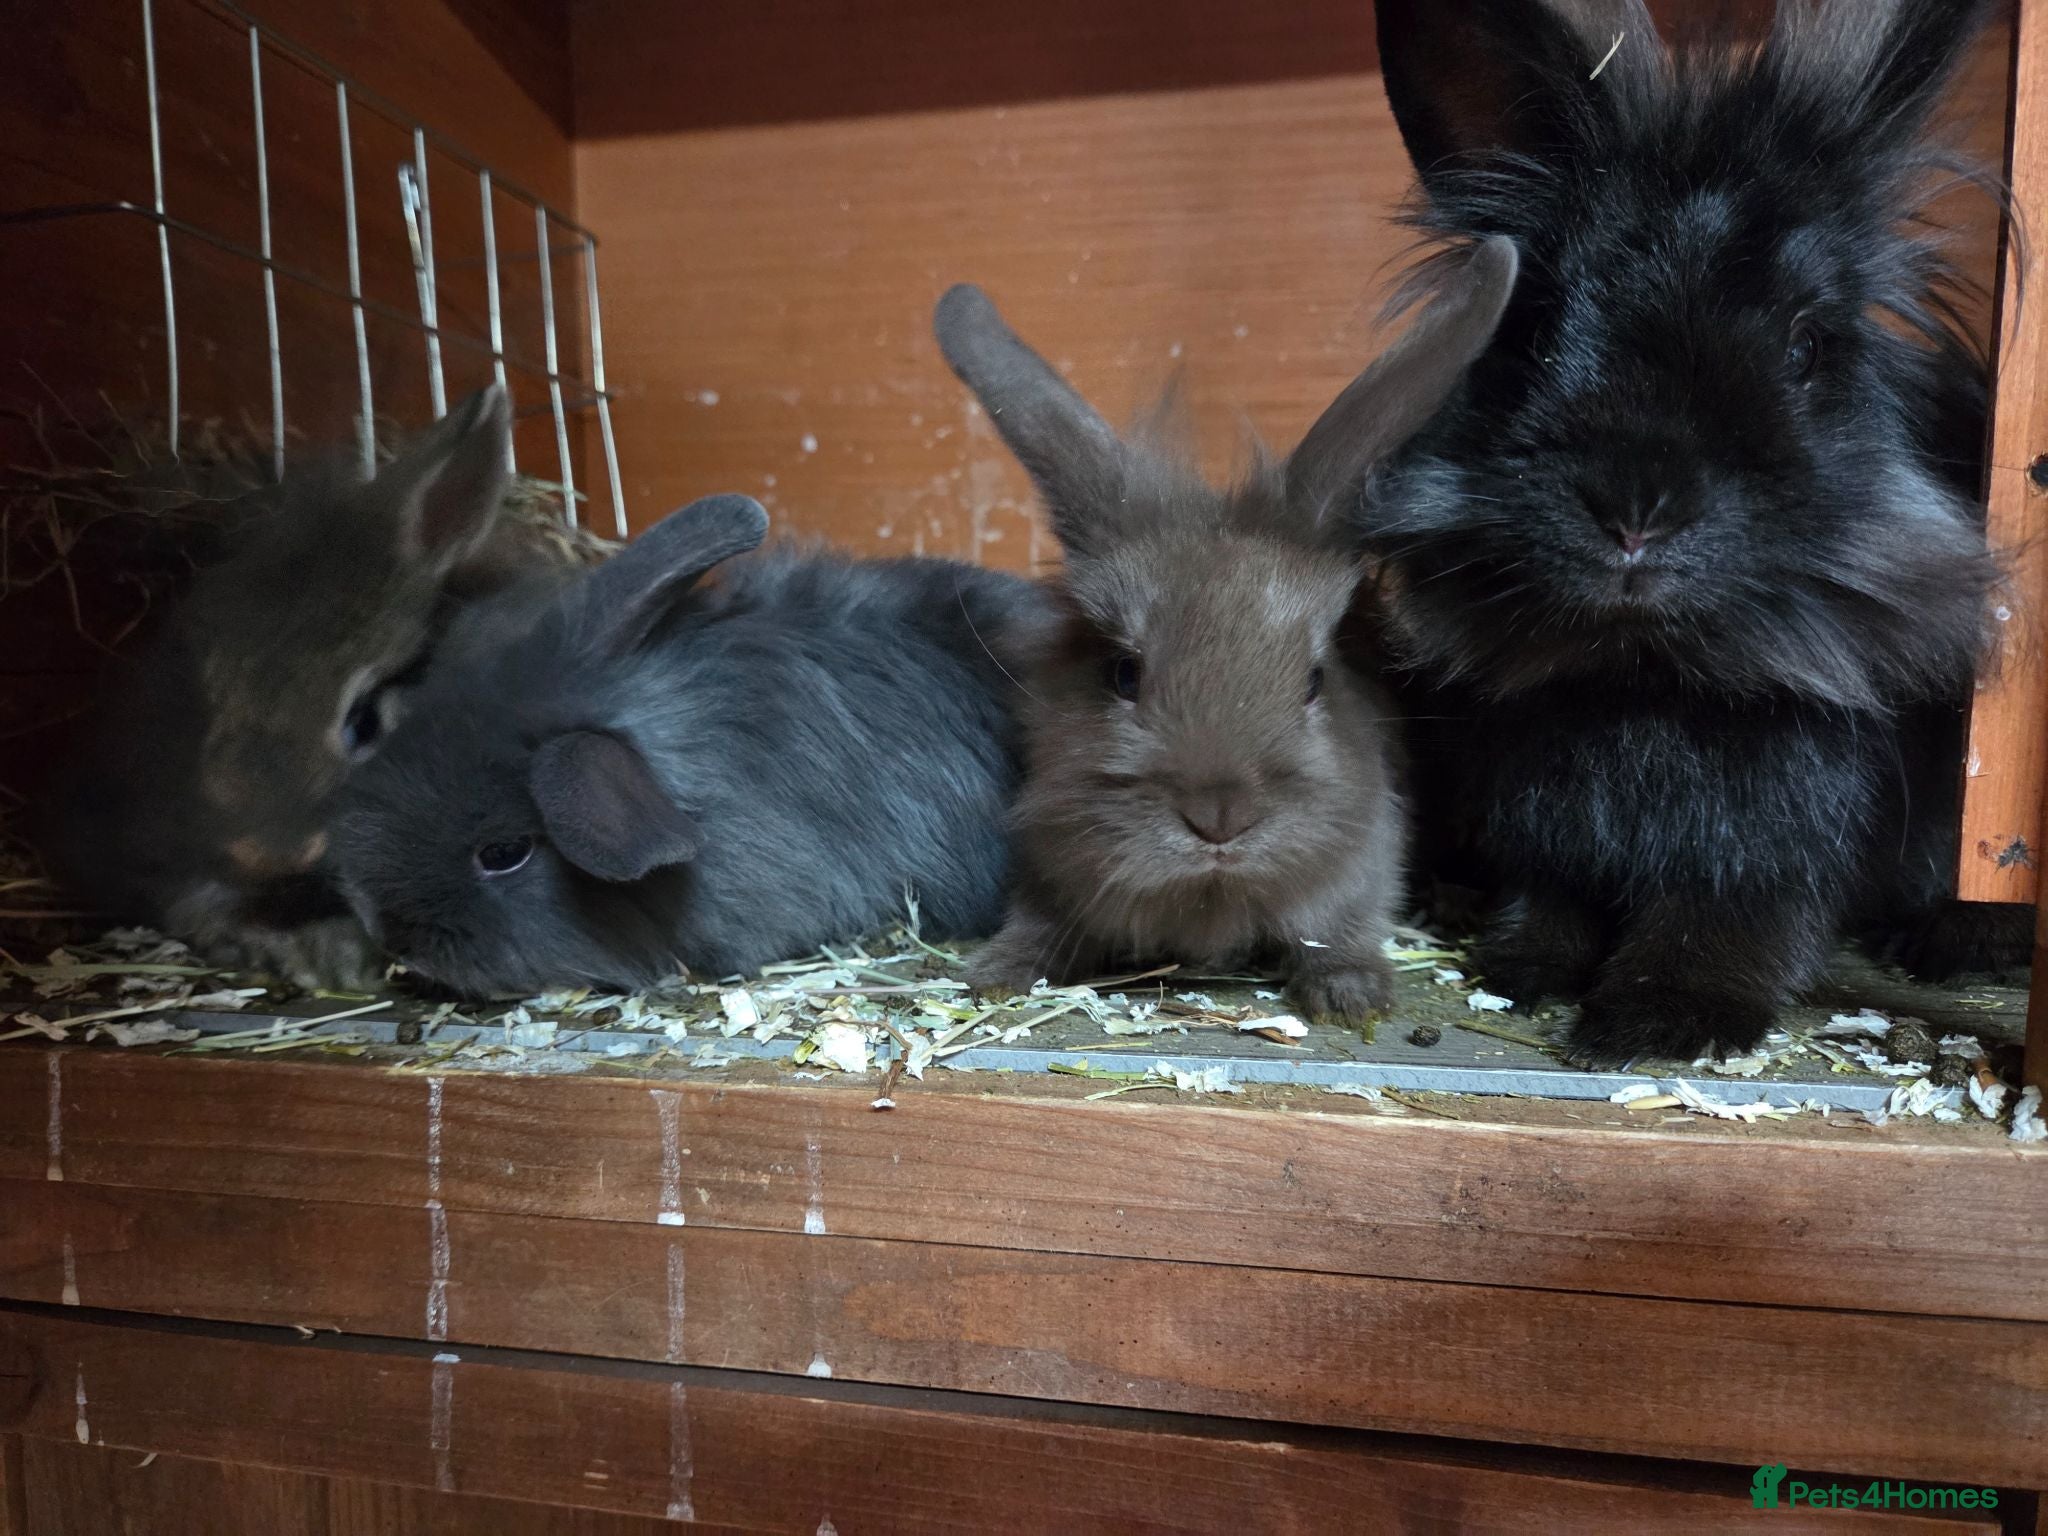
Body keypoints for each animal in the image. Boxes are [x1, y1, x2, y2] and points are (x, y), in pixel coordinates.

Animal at [933, 239, 1518, 1021]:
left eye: (1314, 680)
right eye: (1124, 674)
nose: (1219, 817)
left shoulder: (1361, 872)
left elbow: (1341, 932)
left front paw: (1351, 997)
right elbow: (1036, 925)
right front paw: (996, 974)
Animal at [1358, 0, 2005, 1063]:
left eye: (1805, 346)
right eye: (1535, 330)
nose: (1635, 513)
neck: (1645, 672)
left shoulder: (1770, 851)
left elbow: (1727, 923)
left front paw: (1657, 1023)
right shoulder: (1548, 829)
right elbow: (1552, 901)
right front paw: (1524, 969)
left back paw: (1949, 945)